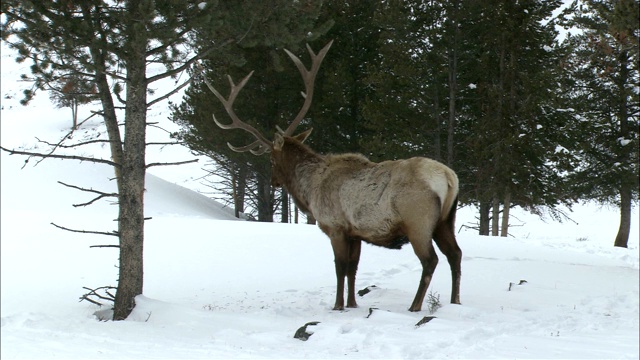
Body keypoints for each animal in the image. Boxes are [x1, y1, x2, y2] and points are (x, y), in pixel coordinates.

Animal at [200, 40, 460, 312]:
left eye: (271, 160)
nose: (273, 181)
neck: (310, 188)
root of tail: (449, 178)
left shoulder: (334, 226)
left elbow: (340, 267)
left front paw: (337, 306)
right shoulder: (355, 233)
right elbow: (353, 268)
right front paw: (352, 303)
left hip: (418, 220)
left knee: (430, 260)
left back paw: (415, 306)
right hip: (445, 220)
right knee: (455, 254)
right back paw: (455, 301)